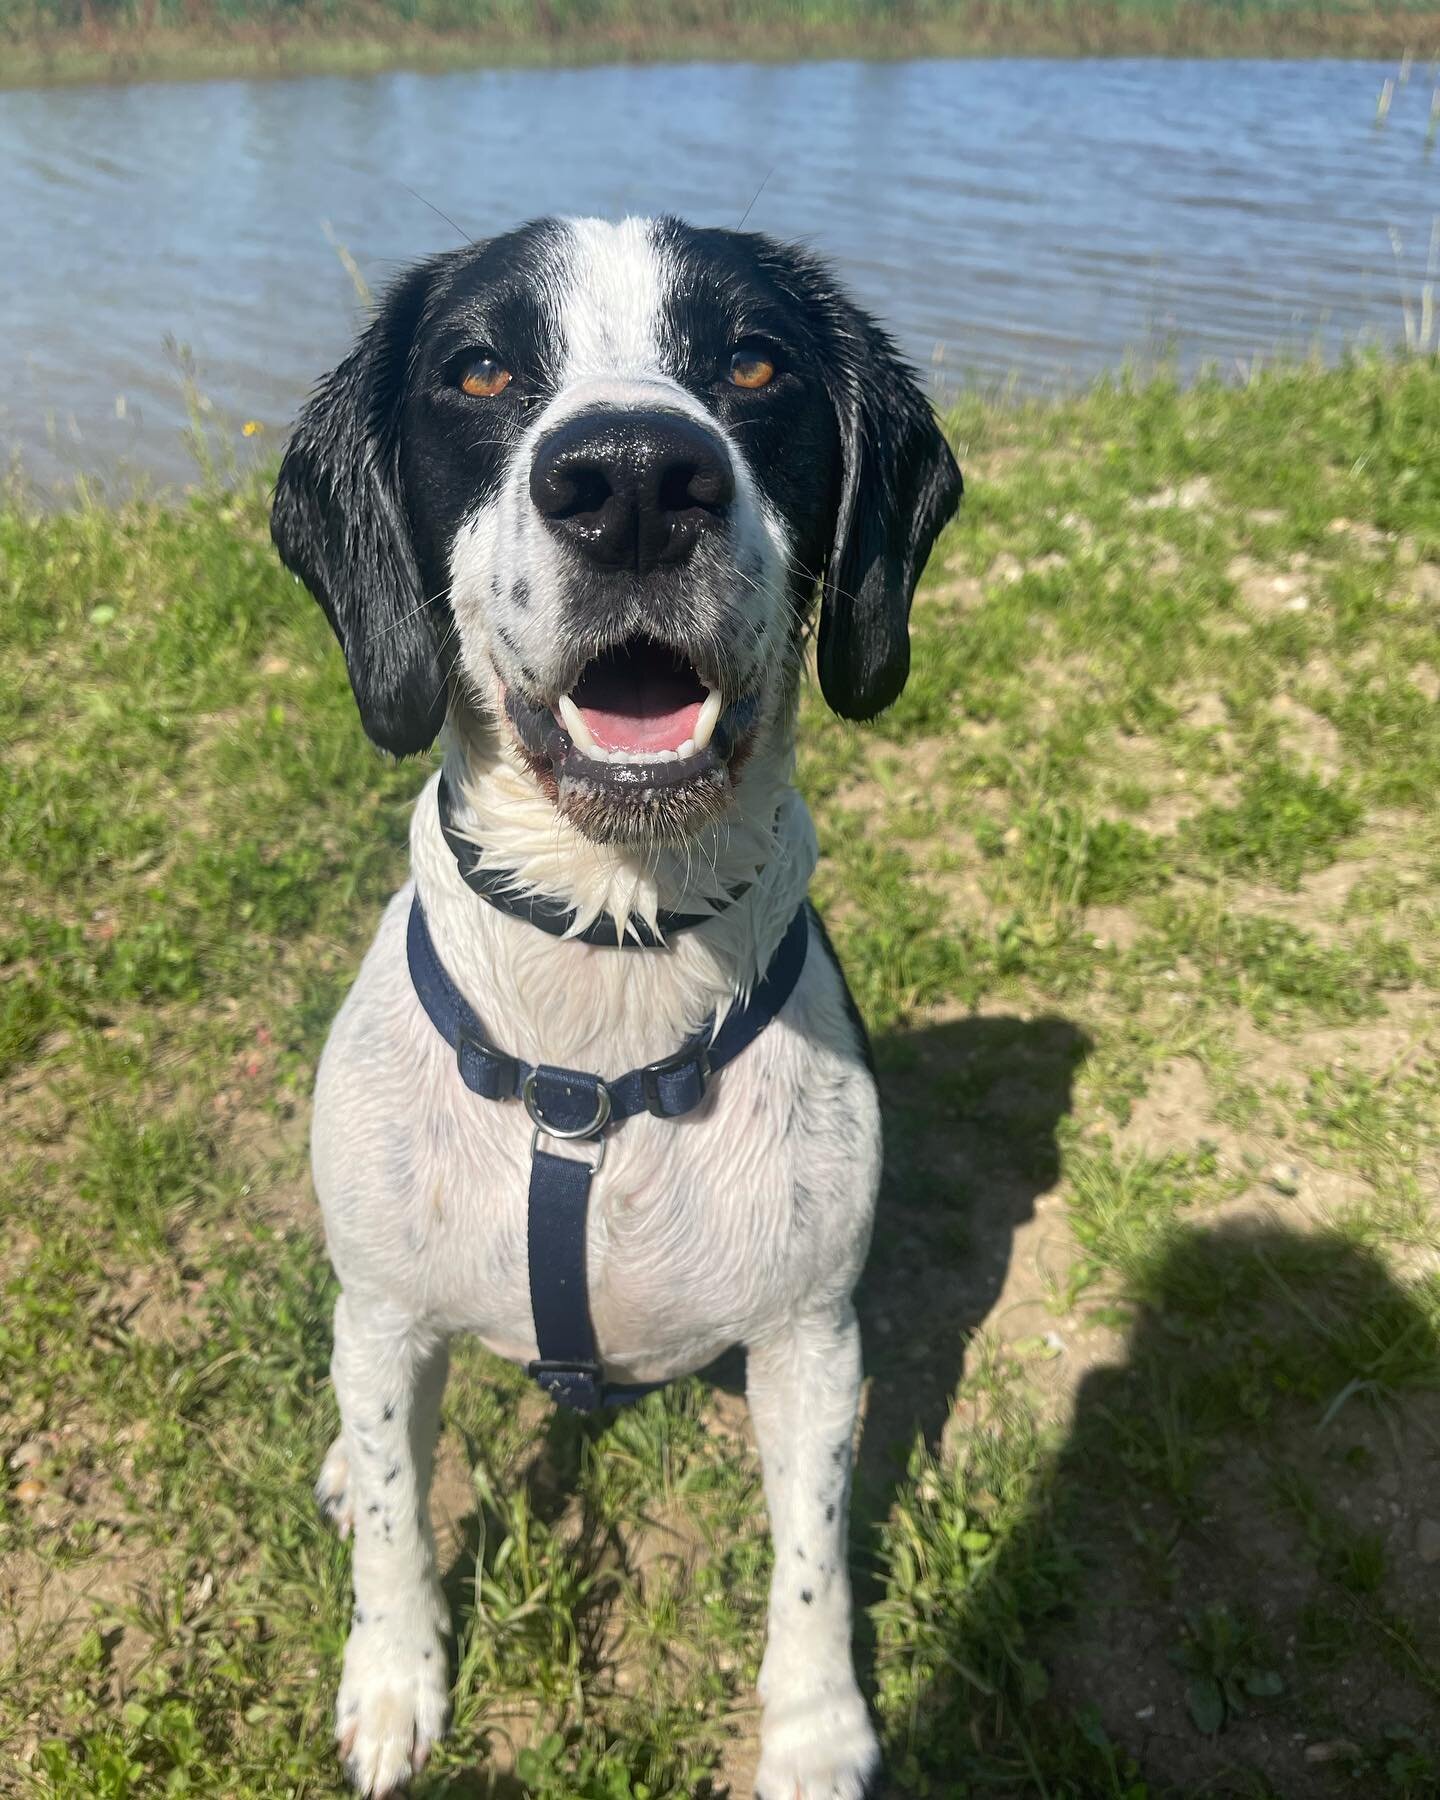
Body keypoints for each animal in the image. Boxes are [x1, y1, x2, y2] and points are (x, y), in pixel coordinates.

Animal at [270, 214, 964, 1800]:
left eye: (755, 360)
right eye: (479, 370)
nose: (637, 477)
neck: (606, 974)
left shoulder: (811, 1340)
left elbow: (812, 1559)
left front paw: (816, 1732)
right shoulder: (388, 1310)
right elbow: (397, 1519)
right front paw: (393, 1681)